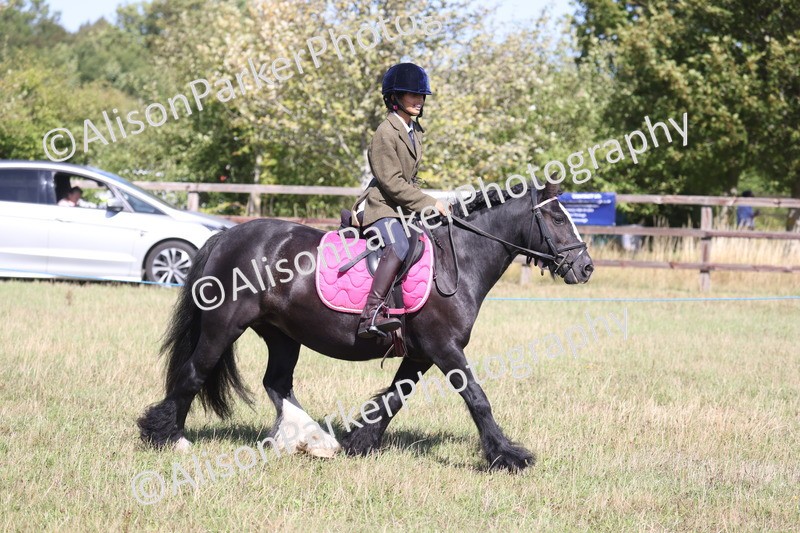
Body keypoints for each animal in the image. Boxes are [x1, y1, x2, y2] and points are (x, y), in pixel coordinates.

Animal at [137, 179, 594, 472]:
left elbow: (393, 398)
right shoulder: (445, 348)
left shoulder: (421, 354)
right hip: (224, 327)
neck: (458, 260)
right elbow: (477, 398)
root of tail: (225, 237)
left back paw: (314, 441)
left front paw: (361, 442)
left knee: (277, 383)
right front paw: (508, 456)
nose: (585, 267)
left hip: (282, 335)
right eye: (557, 218)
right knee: (195, 372)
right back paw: (167, 436)